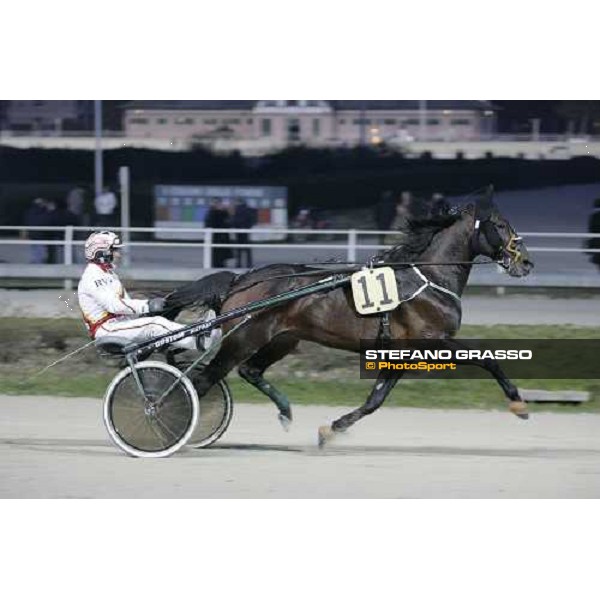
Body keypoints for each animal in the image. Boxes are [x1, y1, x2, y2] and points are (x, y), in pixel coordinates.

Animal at [165, 188, 536, 446]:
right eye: (501, 225)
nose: (527, 263)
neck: (428, 278)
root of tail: (243, 280)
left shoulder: (399, 353)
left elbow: (375, 399)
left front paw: (332, 429)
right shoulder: (433, 341)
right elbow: (487, 359)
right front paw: (518, 403)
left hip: (283, 338)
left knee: (250, 370)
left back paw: (285, 411)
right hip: (243, 338)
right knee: (201, 381)